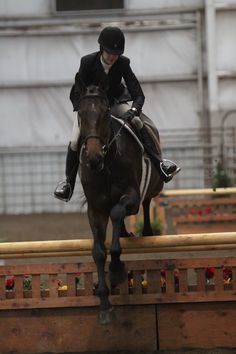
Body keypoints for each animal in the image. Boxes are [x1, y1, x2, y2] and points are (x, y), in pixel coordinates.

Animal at [77, 81, 164, 324]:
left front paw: (116, 270)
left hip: (153, 187)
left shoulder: (131, 196)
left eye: (105, 113)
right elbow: (98, 251)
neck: (106, 164)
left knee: (146, 203)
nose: (93, 158)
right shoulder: (96, 209)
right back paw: (125, 233)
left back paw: (146, 231)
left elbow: (117, 212)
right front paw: (104, 304)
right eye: (80, 114)